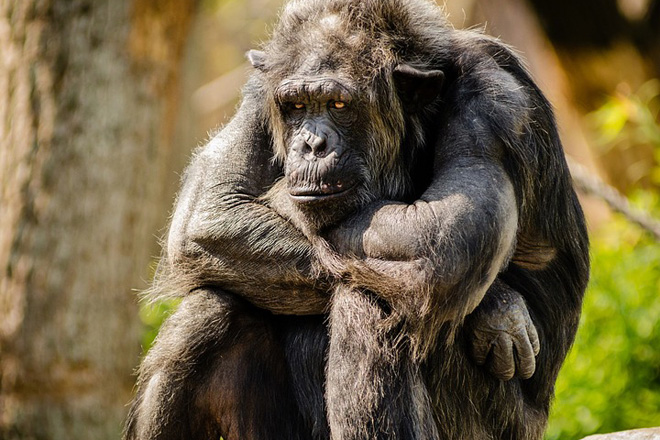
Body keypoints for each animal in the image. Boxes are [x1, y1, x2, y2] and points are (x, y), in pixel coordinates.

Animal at [124, 0, 588, 440]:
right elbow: (210, 209)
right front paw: (497, 307)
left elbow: (444, 236)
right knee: (207, 313)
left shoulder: (494, 99)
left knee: (374, 296)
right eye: (296, 106)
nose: (311, 144)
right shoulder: (260, 89)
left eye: (338, 104)